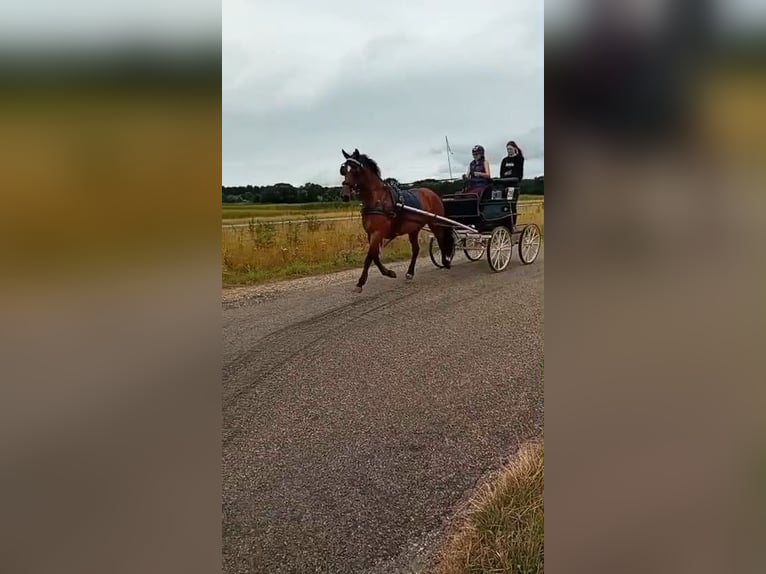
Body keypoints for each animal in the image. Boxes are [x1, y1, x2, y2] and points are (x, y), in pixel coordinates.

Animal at [339, 148, 455, 292]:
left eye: (355, 170)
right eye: (343, 170)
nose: (344, 195)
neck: (378, 200)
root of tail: (432, 193)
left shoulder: (377, 233)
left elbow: (369, 257)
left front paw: (360, 283)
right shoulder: (370, 233)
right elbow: (375, 256)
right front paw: (388, 272)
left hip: (435, 223)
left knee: (440, 240)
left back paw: (445, 261)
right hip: (414, 228)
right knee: (416, 249)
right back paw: (410, 273)